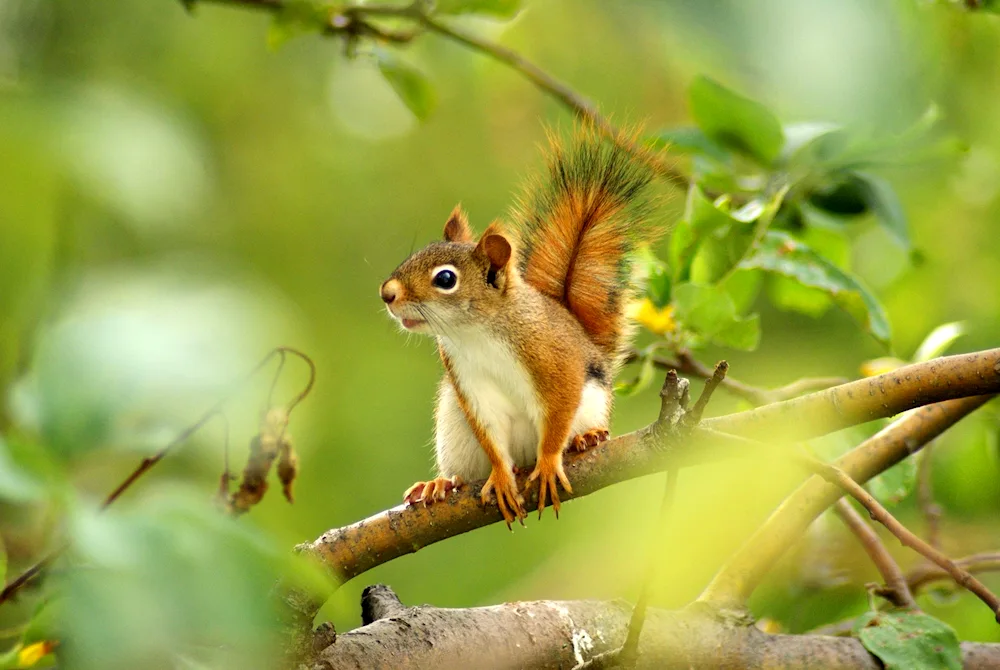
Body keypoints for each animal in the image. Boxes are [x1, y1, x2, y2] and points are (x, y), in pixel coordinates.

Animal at [378, 129, 652, 524]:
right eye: (419, 251)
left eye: (445, 279)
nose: (387, 293)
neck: (476, 333)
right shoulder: (469, 382)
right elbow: (491, 434)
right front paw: (501, 477)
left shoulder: (556, 360)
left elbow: (557, 413)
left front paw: (550, 461)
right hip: (454, 428)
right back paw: (442, 483)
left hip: (591, 404)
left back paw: (584, 439)